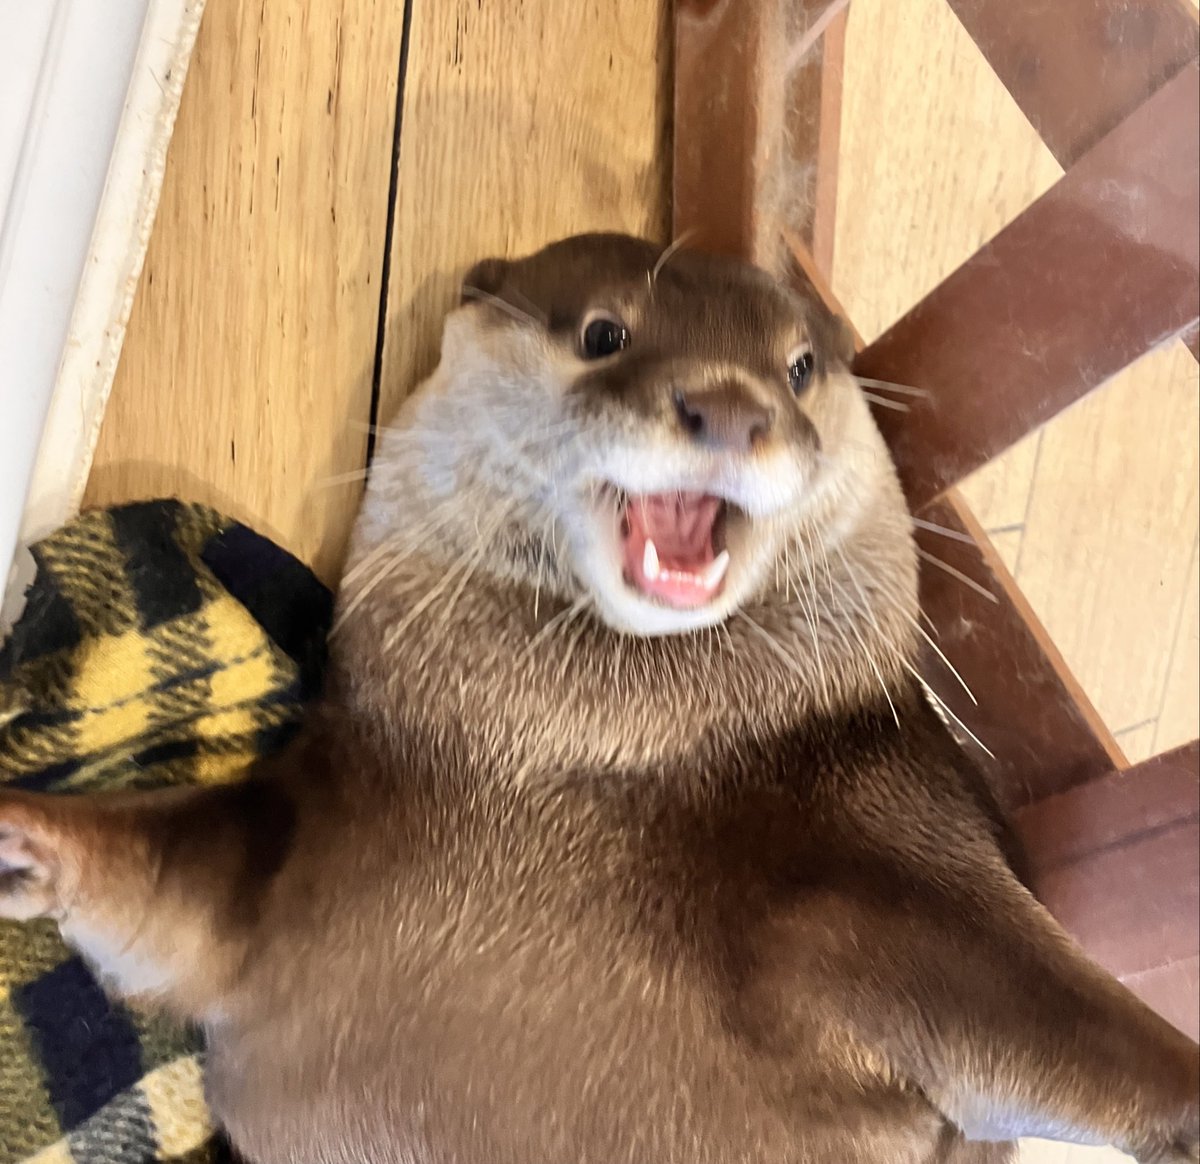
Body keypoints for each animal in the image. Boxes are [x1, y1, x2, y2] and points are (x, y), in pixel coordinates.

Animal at [0, 235, 1196, 1163]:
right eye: (605, 335)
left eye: (801, 366)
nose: (732, 404)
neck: (583, 757)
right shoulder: (308, 842)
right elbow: (163, 896)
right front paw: (28, 838)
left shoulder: (915, 844)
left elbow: (1063, 1028)